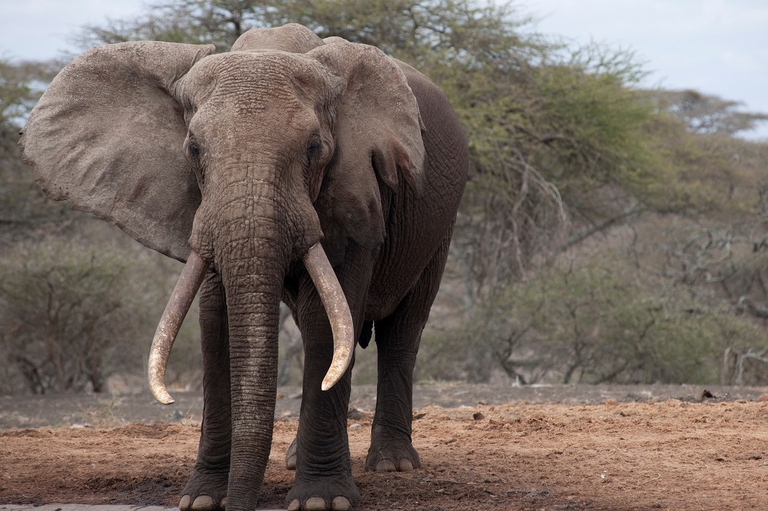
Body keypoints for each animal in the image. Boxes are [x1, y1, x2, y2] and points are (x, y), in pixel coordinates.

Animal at [20, 23, 468, 511]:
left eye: (315, 148)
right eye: (194, 149)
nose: (241, 502)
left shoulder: (355, 188)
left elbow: (328, 319)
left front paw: (320, 501)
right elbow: (216, 324)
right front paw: (203, 499)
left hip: (439, 227)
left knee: (402, 330)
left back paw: (392, 464)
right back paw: (295, 459)